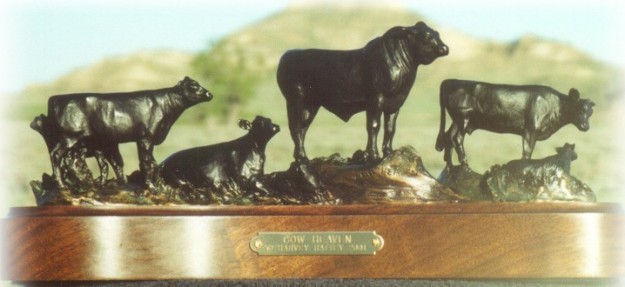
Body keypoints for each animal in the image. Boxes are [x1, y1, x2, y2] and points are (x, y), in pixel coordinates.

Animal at [44, 76, 212, 188]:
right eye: (193, 85)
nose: (209, 94)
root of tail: (55, 99)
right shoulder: (145, 137)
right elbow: (147, 162)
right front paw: (151, 186)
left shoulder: (144, 140)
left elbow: (151, 163)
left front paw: (159, 185)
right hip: (69, 137)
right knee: (56, 155)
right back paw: (62, 185)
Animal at [278, 21, 448, 169]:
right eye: (426, 36)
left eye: (437, 33)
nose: (445, 48)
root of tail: (287, 55)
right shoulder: (376, 99)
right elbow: (374, 126)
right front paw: (374, 156)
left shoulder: (395, 104)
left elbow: (390, 128)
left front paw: (388, 152)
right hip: (296, 100)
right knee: (296, 127)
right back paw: (302, 158)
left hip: (311, 106)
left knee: (302, 128)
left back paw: (302, 158)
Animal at [436, 80, 592, 168]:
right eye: (580, 109)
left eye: (590, 112)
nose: (586, 127)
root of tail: (449, 81)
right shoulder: (530, 131)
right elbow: (527, 152)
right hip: (463, 118)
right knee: (456, 138)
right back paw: (465, 165)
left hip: (457, 121)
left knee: (448, 137)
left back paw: (450, 166)